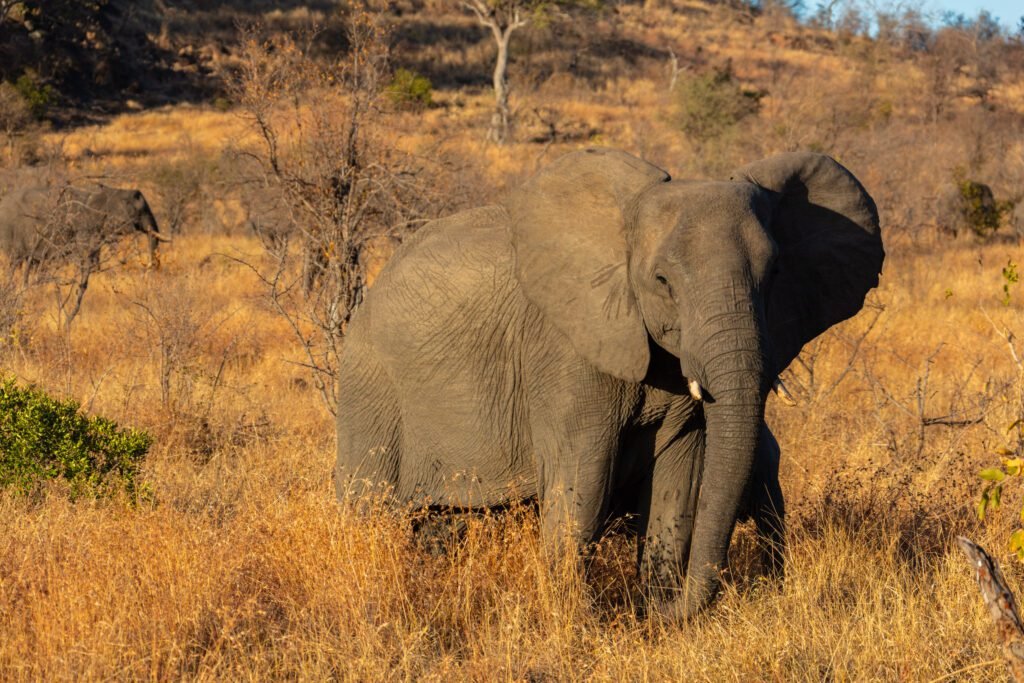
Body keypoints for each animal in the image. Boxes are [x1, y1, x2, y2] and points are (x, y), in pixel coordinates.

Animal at [0, 183, 166, 278]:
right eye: (141, 211)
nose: (151, 268)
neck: (112, 192)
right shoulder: (84, 226)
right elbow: (87, 251)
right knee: (14, 261)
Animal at [335, 148, 883, 619]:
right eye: (662, 282)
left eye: (774, 275)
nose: (654, 609)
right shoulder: (564, 351)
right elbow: (583, 477)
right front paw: (577, 622)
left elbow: (679, 478)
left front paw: (657, 618)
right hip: (370, 387)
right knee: (368, 507)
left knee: (442, 519)